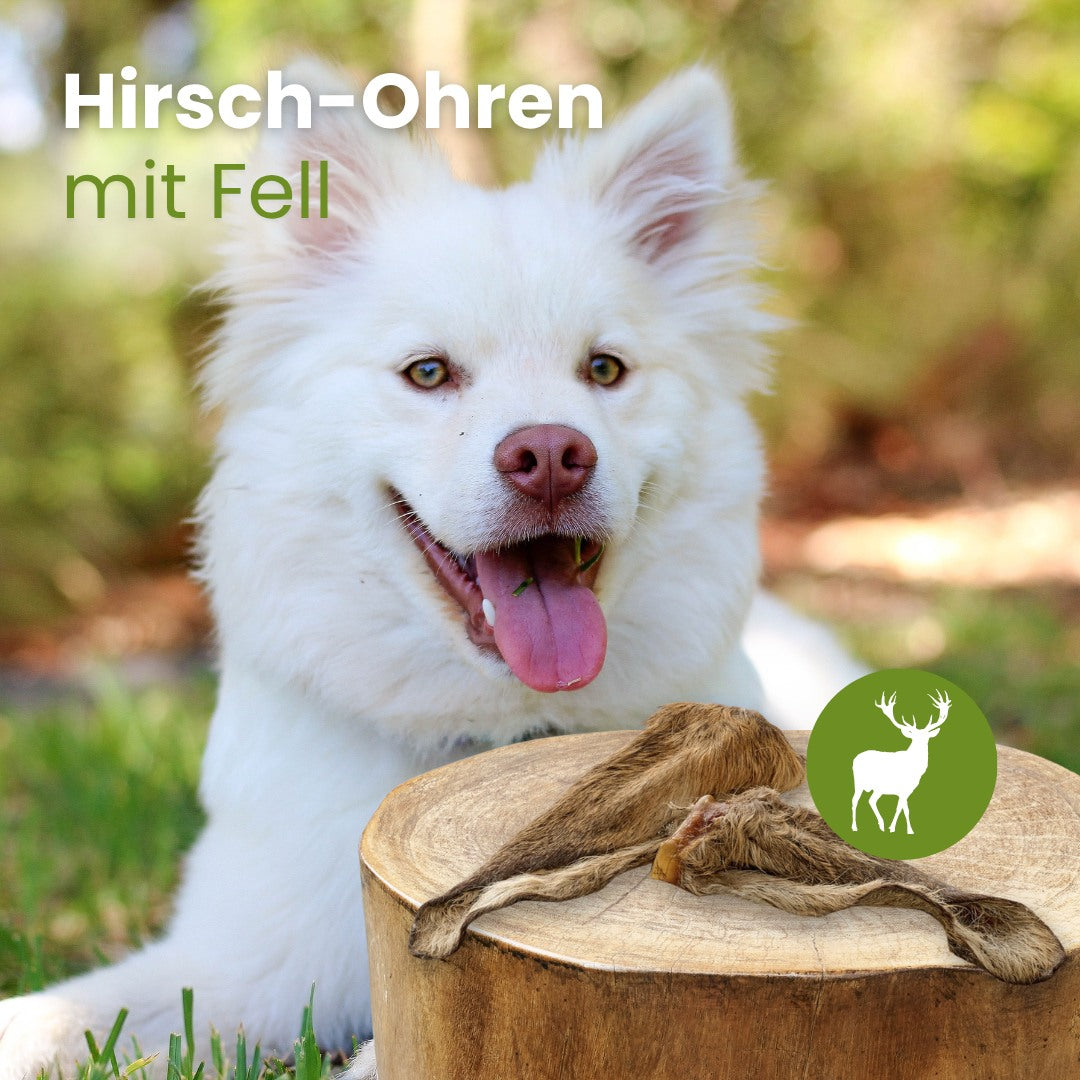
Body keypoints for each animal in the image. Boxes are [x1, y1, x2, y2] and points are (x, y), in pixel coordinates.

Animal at [851, 689, 950, 835]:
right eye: (914, 738)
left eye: (927, 738)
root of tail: (856, 757)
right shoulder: (903, 790)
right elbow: (904, 809)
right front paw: (903, 829)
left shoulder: (905, 791)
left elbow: (901, 808)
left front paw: (898, 828)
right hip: (860, 783)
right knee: (855, 800)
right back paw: (855, 827)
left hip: (877, 788)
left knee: (871, 800)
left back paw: (881, 825)